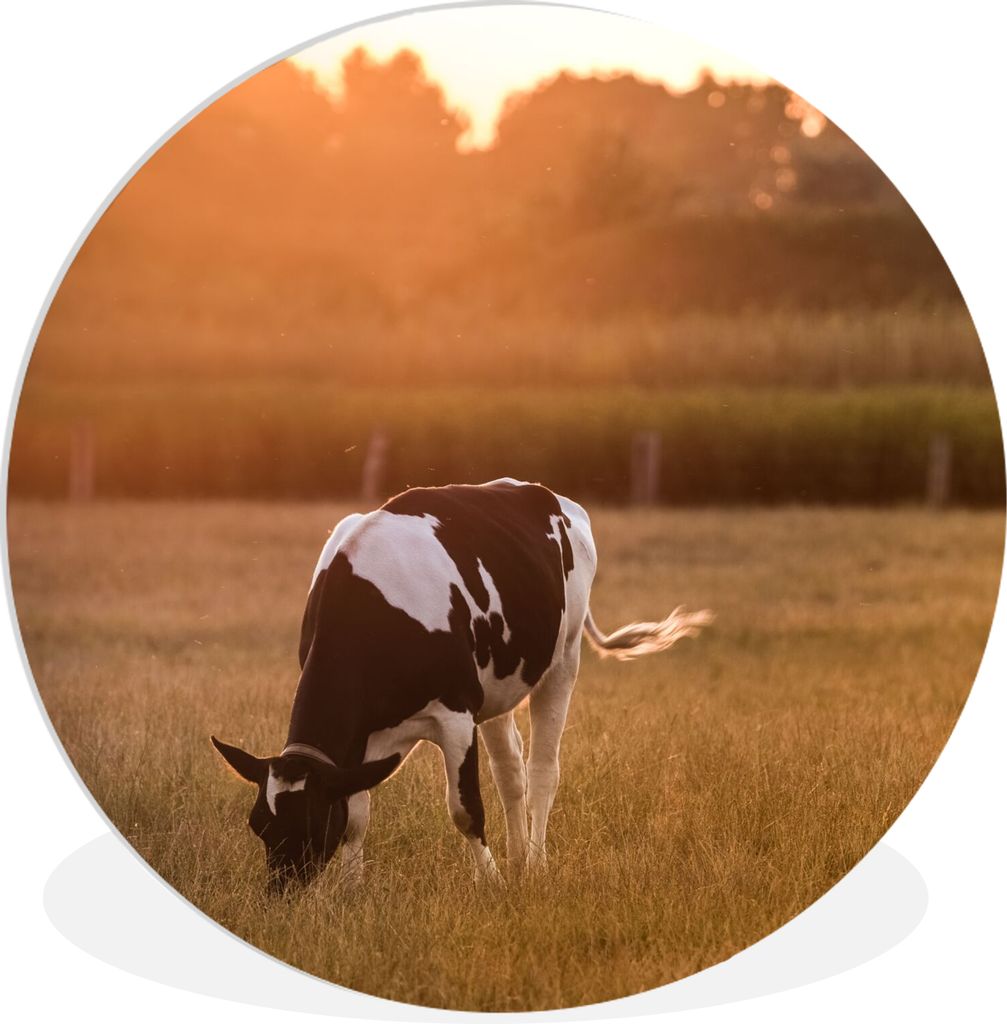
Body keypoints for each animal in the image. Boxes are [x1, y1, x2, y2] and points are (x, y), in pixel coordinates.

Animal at [212, 478, 711, 894]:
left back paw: (536, 864)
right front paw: (352, 891)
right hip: (498, 689)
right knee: (511, 772)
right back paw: (518, 860)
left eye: (312, 824)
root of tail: (547, 493)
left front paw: (489, 883)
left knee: (542, 770)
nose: (281, 893)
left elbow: (465, 808)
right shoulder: (362, 740)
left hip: (563, 661)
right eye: (258, 824)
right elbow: (356, 812)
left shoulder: (455, 714)